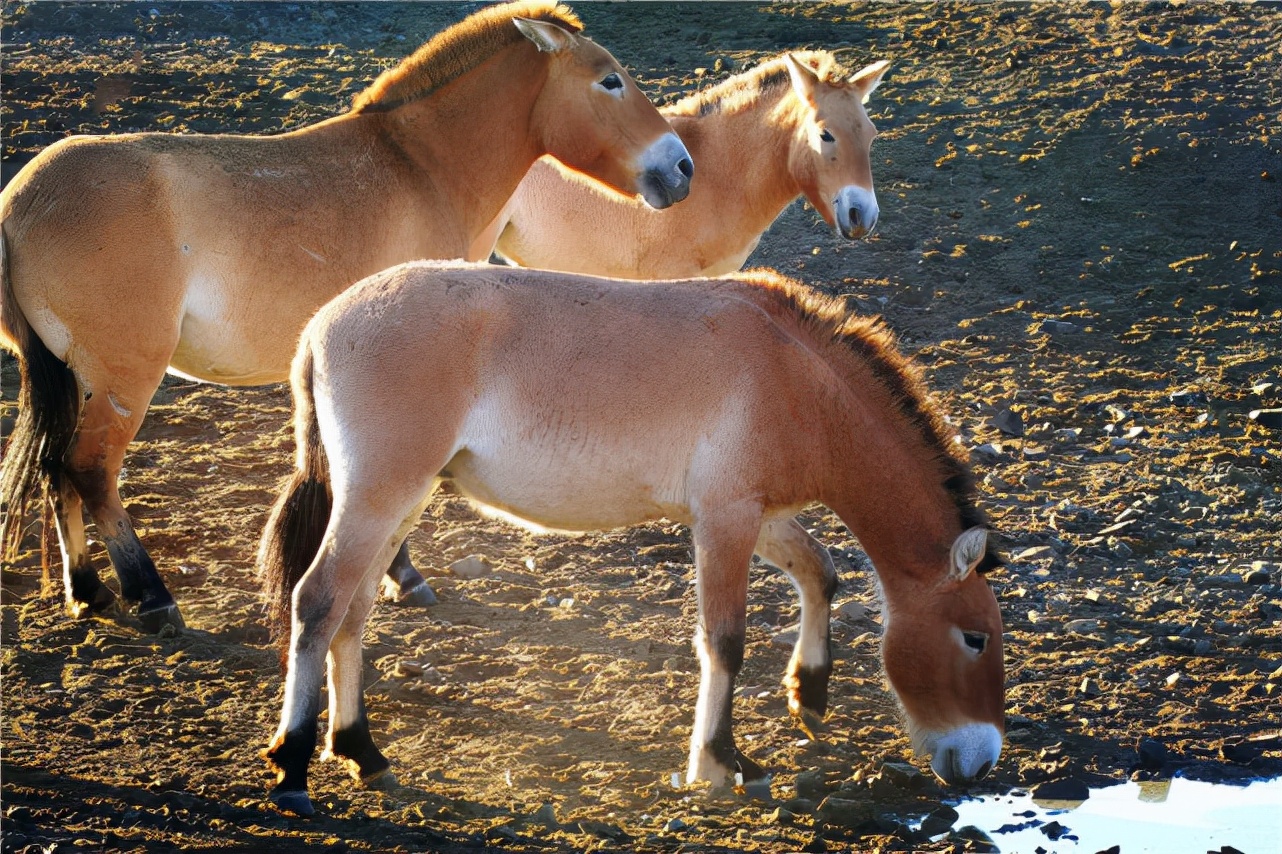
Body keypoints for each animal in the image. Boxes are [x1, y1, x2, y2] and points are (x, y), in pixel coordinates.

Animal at [0, 0, 693, 634]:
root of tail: (20, 203)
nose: (681, 168)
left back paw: (88, 591)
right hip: (123, 377)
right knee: (90, 470)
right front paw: (404, 576)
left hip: (75, 376)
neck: (421, 166)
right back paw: (151, 596)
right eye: (610, 80)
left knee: (56, 469)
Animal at [258, 260, 1006, 817]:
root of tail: (321, 327)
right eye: (974, 638)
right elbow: (725, 641)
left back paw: (361, 751)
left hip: (399, 504)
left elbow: (821, 570)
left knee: (353, 612)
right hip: (377, 498)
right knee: (317, 602)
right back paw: (292, 766)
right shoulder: (725, 521)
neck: (794, 375)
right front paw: (719, 763)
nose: (981, 761)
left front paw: (810, 693)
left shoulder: (756, 517)